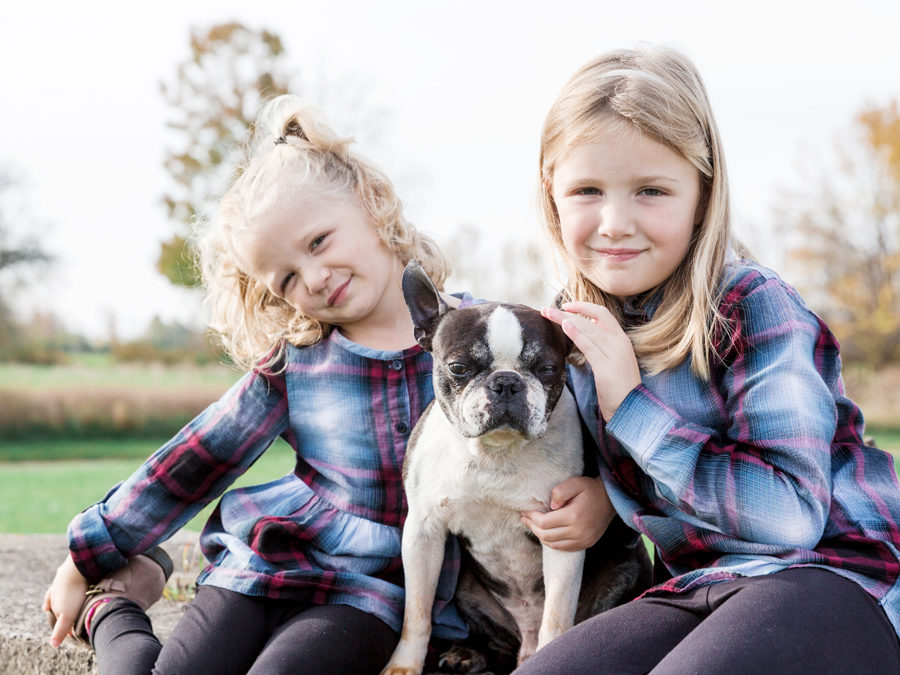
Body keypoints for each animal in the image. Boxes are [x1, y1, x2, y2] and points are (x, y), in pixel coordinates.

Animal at [380, 264, 648, 675]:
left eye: (548, 368)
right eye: (459, 368)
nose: (506, 382)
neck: (495, 454)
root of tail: (525, 638)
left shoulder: (562, 537)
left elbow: (557, 618)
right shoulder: (422, 532)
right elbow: (417, 612)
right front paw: (404, 665)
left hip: (622, 573)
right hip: (465, 590)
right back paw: (468, 655)